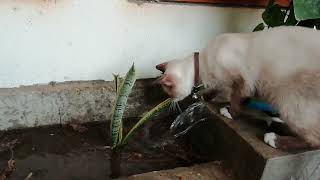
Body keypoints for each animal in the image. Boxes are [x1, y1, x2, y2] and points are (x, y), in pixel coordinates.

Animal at [156, 26, 320, 149]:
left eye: (170, 93)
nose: (171, 101)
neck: (203, 65)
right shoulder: (232, 83)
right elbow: (220, 91)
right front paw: (205, 97)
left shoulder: (241, 80)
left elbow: (235, 100)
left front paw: (228, 112)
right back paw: (276, 125)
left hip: (290, 102)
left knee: (314, 141)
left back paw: (273, 139)